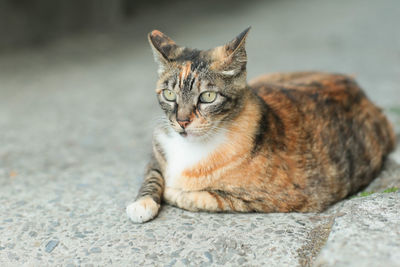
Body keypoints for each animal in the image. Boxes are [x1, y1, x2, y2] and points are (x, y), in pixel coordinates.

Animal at [126, 27, 396, 224]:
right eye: (169, 94)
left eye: (208, 97)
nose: (182, 121)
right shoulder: (158, 149)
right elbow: (152, 175)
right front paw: (142, 204)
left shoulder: (277, 198)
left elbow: (203, 198)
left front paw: (172, 193)